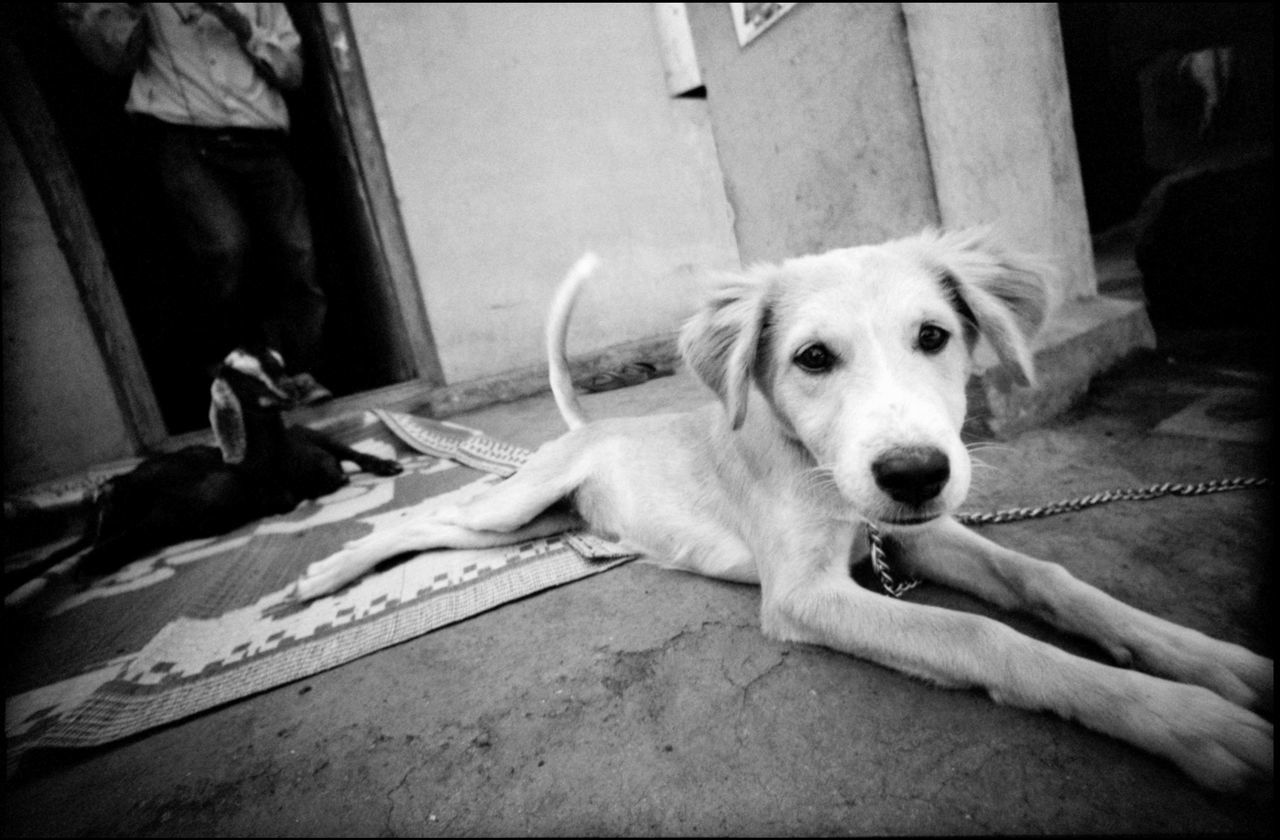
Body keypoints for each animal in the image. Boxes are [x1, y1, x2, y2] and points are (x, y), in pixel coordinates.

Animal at [296, 229, 1269, 793]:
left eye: (934, 337)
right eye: (811, 358)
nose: (915, 473)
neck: (821, 474)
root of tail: (598, 427)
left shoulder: (912, 536)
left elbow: (1047, 577)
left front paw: (1207, 661)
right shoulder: (807, 593)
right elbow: (981, 635)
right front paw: (1183, 720)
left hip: (549, 520)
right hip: (519, 505)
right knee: (428, 522)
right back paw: (325, 571)